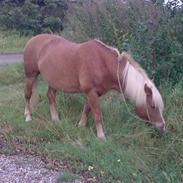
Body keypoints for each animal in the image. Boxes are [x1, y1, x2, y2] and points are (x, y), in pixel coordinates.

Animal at [23, 33, 165, 139]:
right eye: (153, 106)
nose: (162, 127)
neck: (102, 62)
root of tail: (32, 40)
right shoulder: (91, 92)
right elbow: (97, 114)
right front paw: (101, 137)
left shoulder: (93, 93)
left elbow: (87, 109)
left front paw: (81, 126)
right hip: (30, 76)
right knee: (28, 95)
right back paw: (28, 116)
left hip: (54, 81)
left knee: (50, 96)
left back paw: (55, 119)